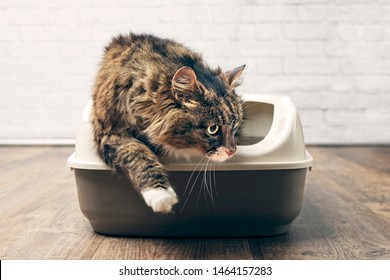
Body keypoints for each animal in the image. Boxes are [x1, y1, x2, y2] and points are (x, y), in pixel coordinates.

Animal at [91, 32, 244, 212]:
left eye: (235, 126)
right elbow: (137, 154)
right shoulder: (110, 132)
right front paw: (160, 194)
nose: (232, 151)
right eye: (213, 129)